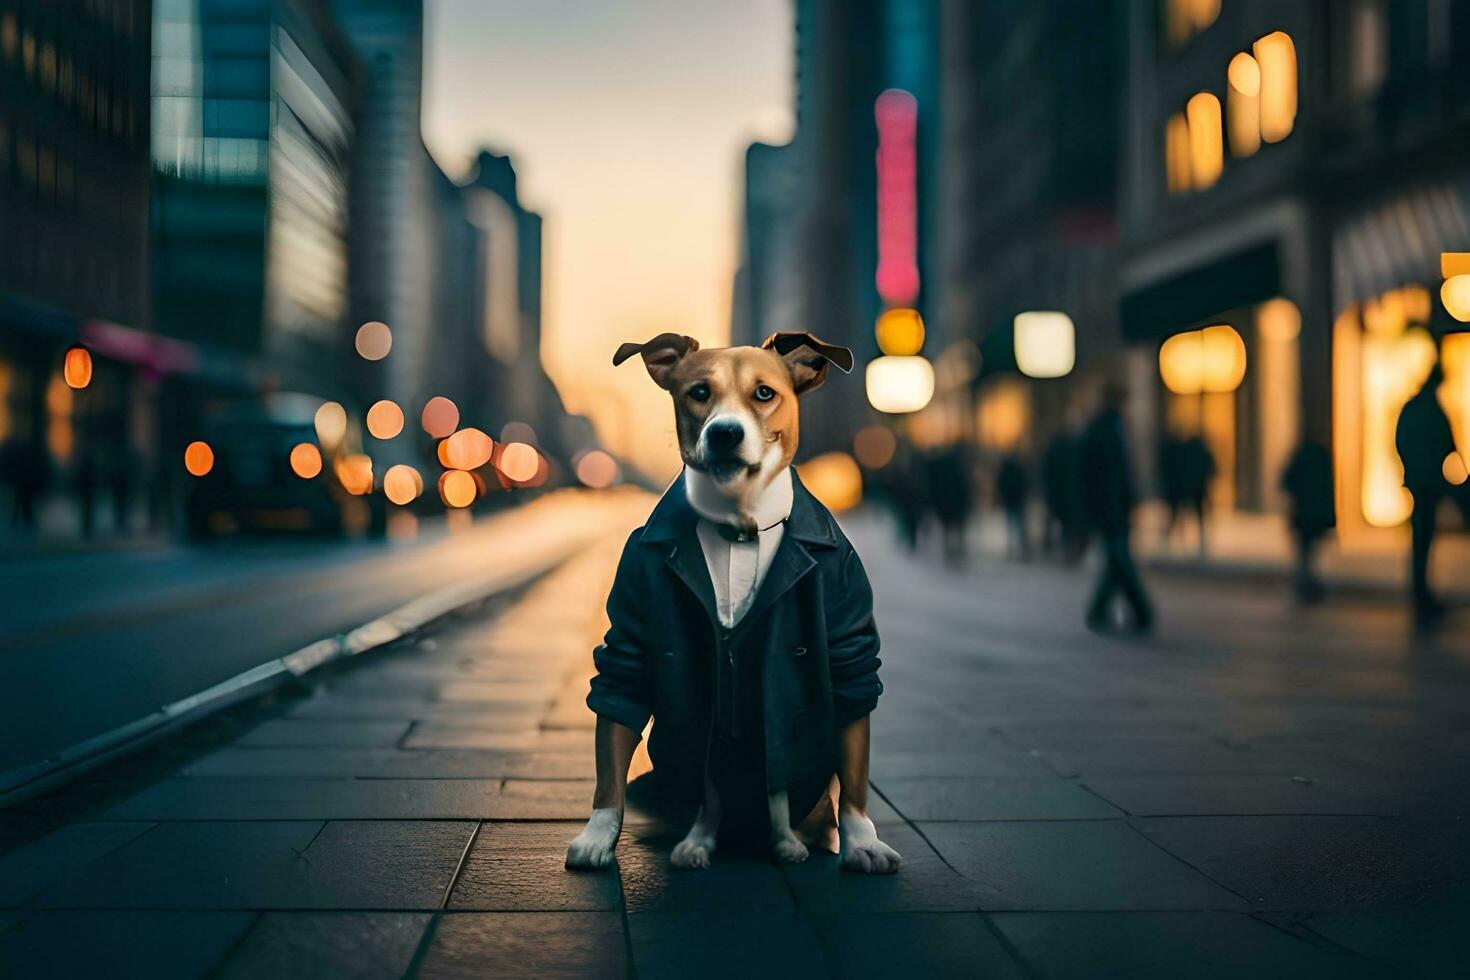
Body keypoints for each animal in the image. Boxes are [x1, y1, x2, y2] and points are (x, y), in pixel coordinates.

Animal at [567, 332, 899, 875]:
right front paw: (599, 833)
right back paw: (702, 840)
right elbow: (612, 751)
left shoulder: (848, 648)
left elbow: (850, 774)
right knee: (710, 790)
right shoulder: (629, 642)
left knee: (782, 785)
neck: (738, 526)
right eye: (699, 392)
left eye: (764, 393)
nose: (724, 432)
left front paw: (861, 842)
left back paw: (789, 840)